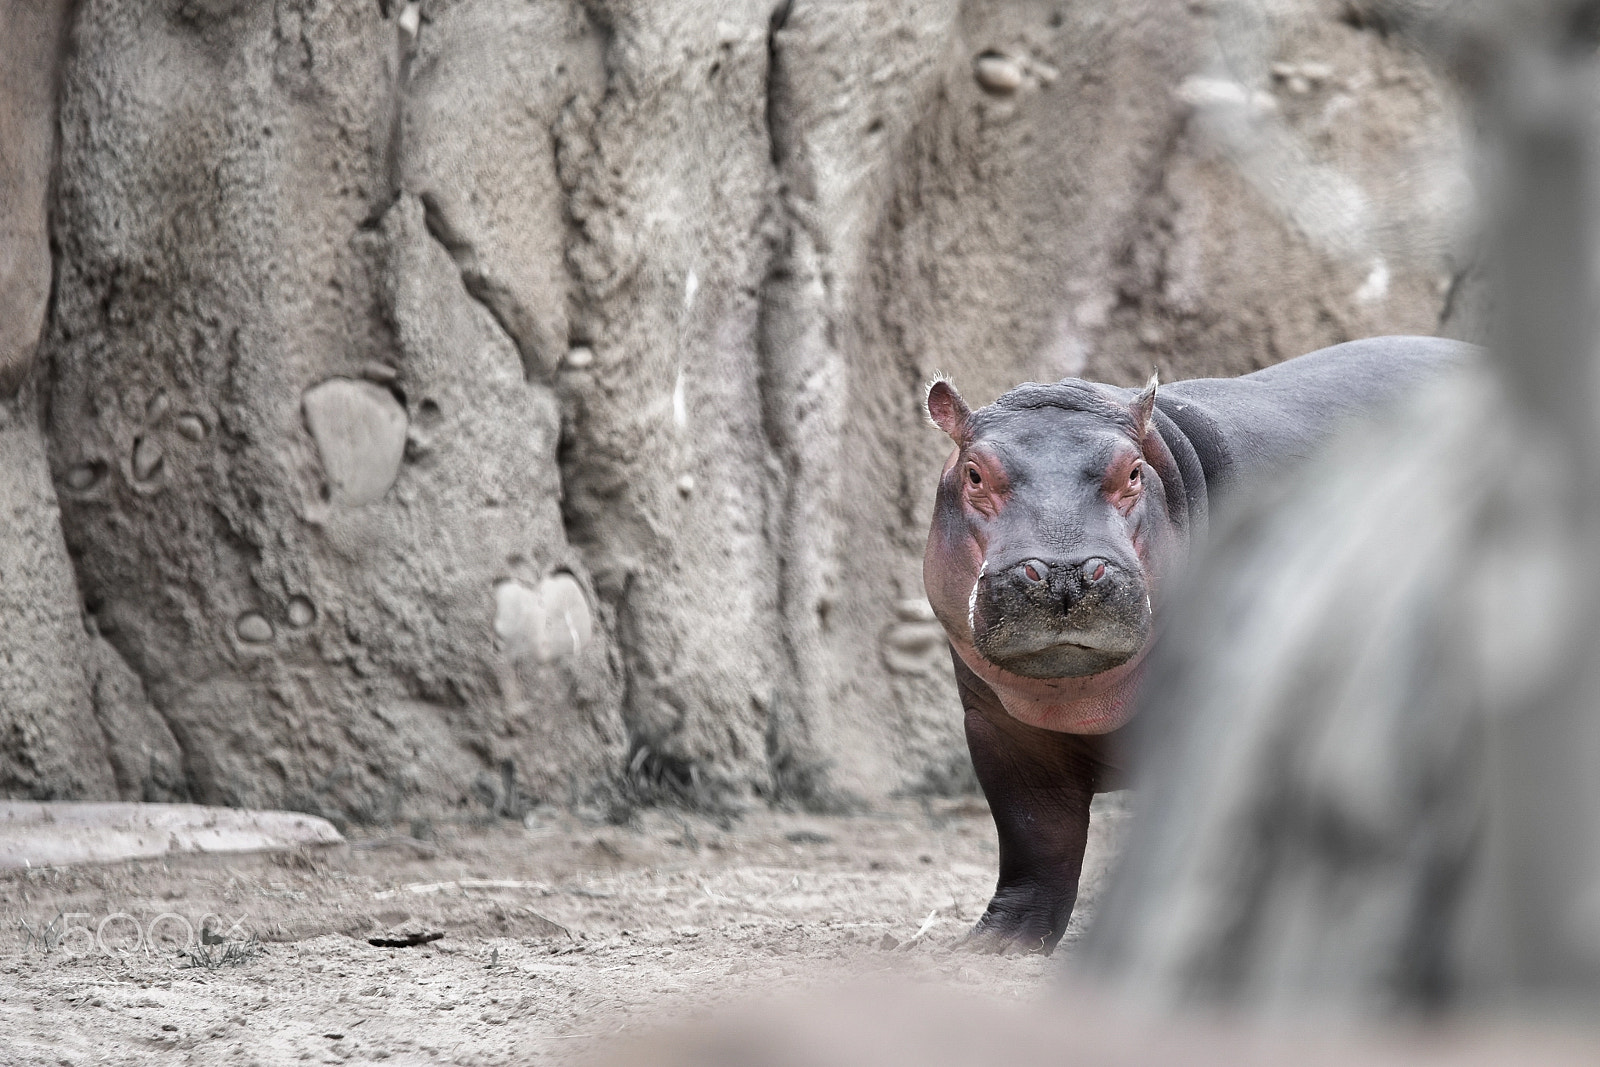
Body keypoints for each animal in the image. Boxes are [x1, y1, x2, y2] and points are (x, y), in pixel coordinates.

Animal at [922, 335, 1475, 953]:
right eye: (973, 473)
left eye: (1133, 472)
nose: (1063, 573)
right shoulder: (997, 727)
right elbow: (1034, 836)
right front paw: (992, 944)